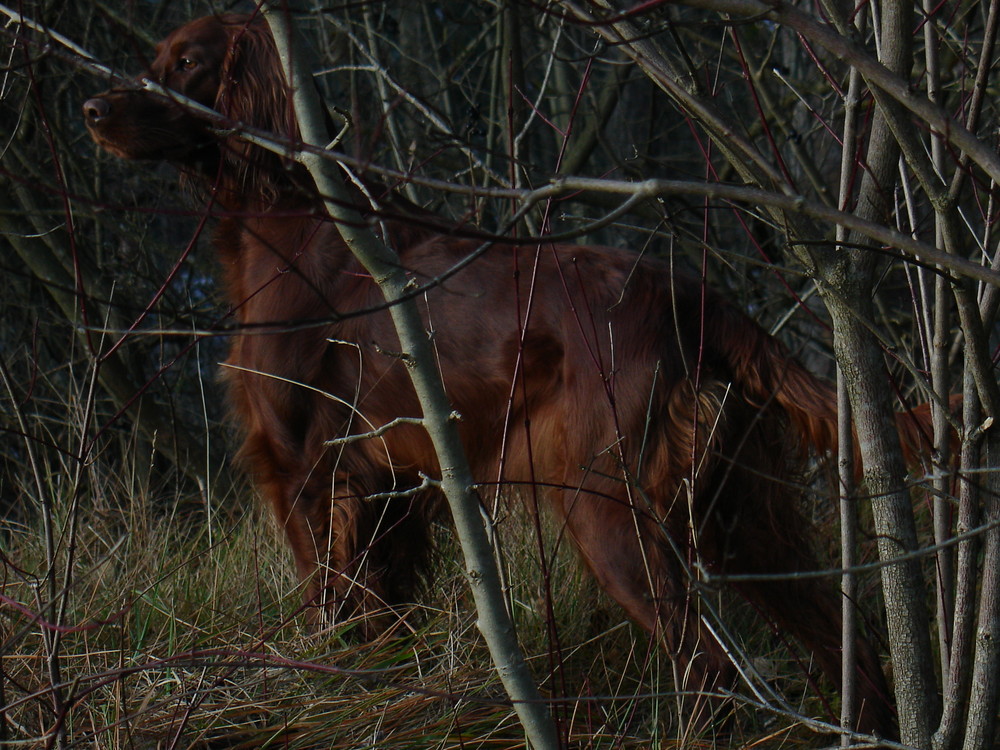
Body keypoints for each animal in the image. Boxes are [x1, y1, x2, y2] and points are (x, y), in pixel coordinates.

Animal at [86, 11, 920, 740]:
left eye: (186, 62)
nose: (92, 110)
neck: (293, 213)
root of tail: (693, 295)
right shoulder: (389, 488)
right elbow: (382, 624)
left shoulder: (304, 471)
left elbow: (332, 608)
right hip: (737, 513)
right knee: (850, 645)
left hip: (608, 505)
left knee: (708, 667)